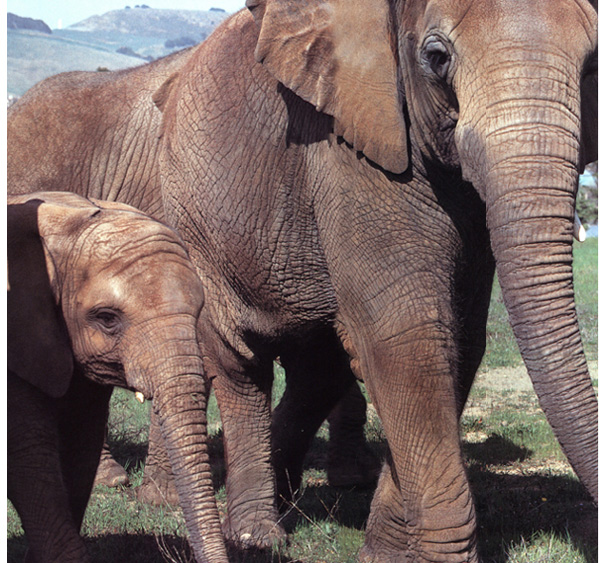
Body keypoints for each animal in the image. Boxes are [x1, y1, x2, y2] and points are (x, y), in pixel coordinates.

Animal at [154, 2, 596, 560]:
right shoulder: (350, 145)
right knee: (240, 363)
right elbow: (406, 334)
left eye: (592, 65)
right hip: (194, 223)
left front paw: (384, 552)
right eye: (436, 57)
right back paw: (259, 531)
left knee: (320, 367)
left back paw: (285, 497)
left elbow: (458, 339)